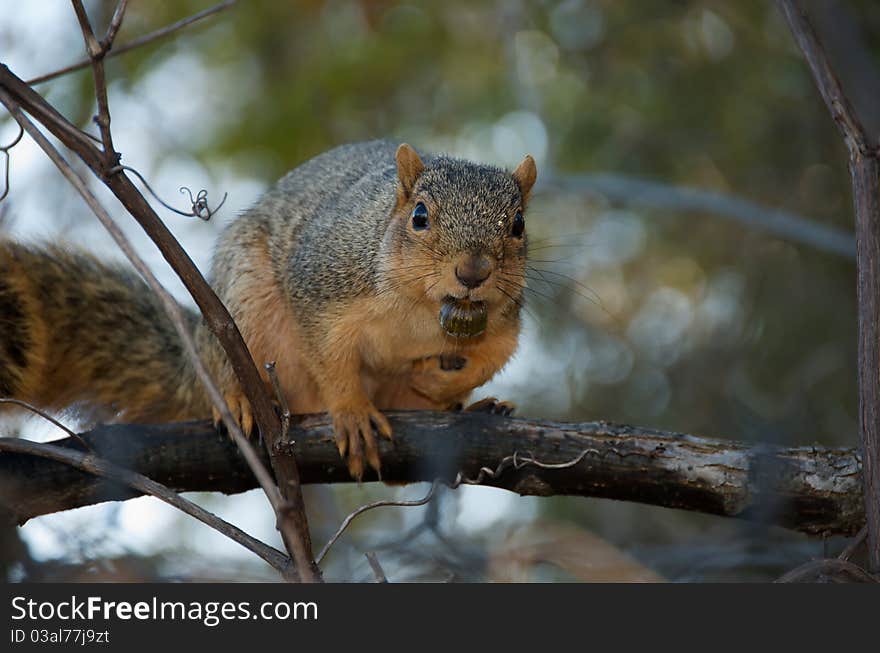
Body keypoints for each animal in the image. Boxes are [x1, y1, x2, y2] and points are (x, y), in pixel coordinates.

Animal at [1, 141, 536, 478]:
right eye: (420, 216)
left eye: (518, 224)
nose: (472, 272)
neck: (422, 310)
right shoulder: (322, 285)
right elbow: (329, 354)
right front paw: (352, 411)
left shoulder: (503, 321)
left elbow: (495, 357)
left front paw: (440, 381)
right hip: (246, 301)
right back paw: (239, 399)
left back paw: (469, 407)